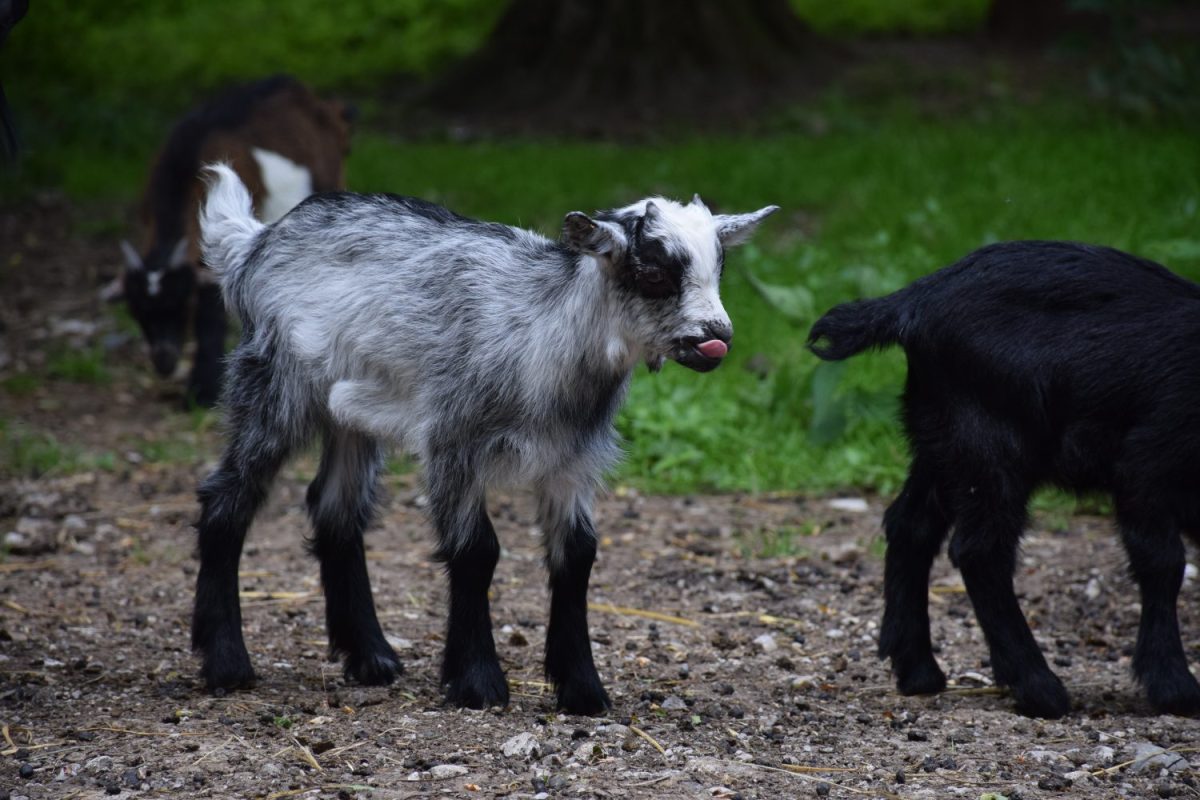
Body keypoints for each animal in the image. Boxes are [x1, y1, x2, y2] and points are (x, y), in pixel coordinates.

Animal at [196, 167, 777, 714]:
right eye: (654, 272)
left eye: (719, 268)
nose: (716, 337)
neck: (541, 339)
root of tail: (255, 244)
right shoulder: (454, 442)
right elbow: (477, 550)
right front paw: (478, 682)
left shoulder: (571, 461)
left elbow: (577, 554)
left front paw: (582, 689)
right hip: (275, 383)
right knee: (227, 498)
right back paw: (227, 663)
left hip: (351, 415)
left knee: (335, 510)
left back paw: (372, 658)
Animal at [806, 242, 1200, 719]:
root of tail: (913, 299)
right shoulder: (1148, 460)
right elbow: (1163, 561)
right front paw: (1174, 685)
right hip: (990, 439)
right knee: (981, 551)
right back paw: (1038, 687)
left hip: (943, 438)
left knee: (910, 525)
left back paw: (919, 670)